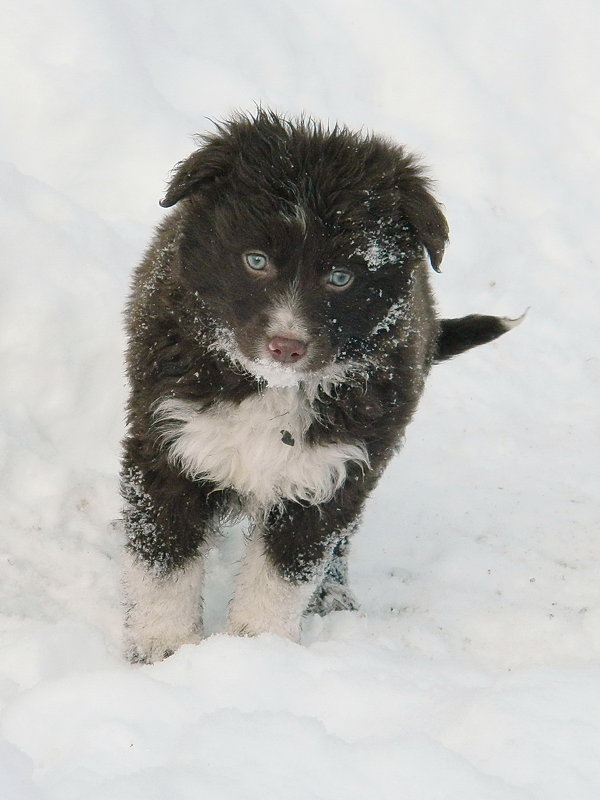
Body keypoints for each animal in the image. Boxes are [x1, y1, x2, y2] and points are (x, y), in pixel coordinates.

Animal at [119, 111, 516, 664]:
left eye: (341, 277)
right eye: (256, 260)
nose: (286, 347)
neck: (272, 387)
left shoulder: (327, 470)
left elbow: (282, 573)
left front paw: (259, 650)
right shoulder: (166, 440)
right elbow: (163, 561)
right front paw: (165, 646)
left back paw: (333, 595)